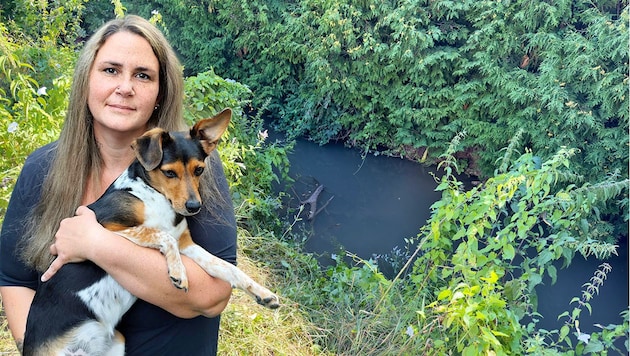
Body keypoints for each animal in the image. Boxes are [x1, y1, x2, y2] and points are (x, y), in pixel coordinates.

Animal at [24, 108, 282, 356]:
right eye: (169, 173)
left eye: (199, 170)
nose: (194, 207)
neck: (158, 199)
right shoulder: (104, 229)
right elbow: (162, 235)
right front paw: (179, 272)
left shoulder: (187, 244)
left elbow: (227, 268)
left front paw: (263, 293)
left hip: (118, 342)